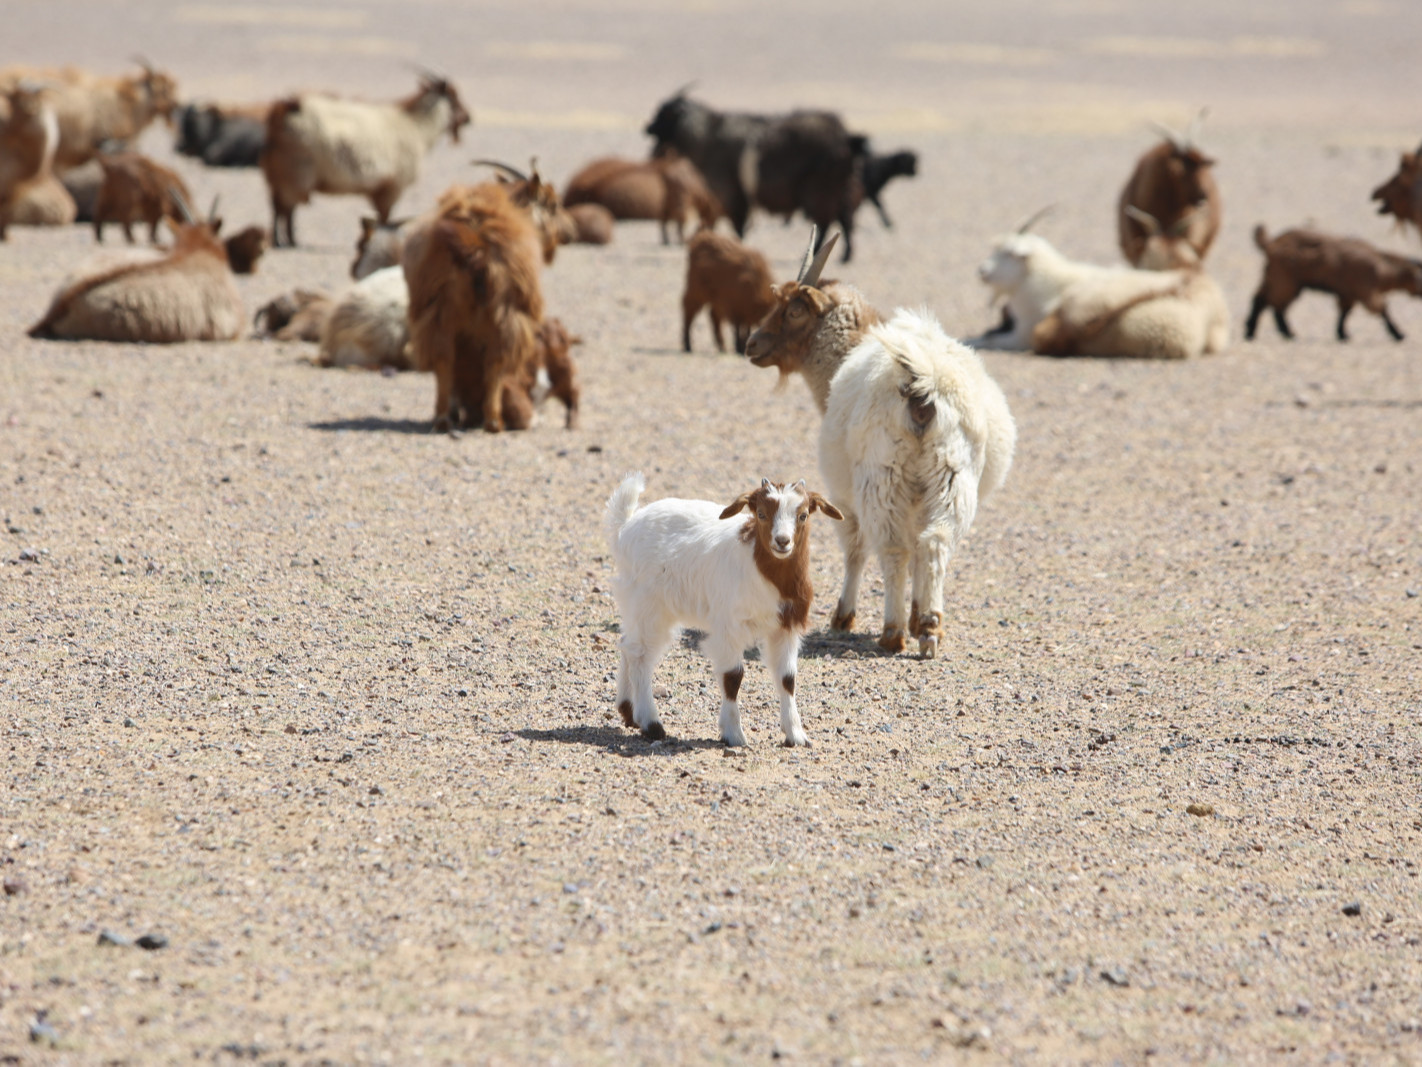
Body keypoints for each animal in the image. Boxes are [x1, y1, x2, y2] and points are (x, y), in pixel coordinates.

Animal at [261, 75, 472, 250]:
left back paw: (286, 240)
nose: (468, 118)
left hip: (280, 172)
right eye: (454, 97)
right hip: (295, 170)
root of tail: (283, 110)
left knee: (280, 205)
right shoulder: (392, 186)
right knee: (284, 206)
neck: (416, 126)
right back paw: (284, 241)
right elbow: (385, 218)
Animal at [1245, 226, 1422, 342]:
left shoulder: (1349, 293)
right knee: (1271, 302)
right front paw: (1399, 334)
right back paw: (1277, 332)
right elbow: (1381, 308)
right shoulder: (1365, 289)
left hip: (1275, 278)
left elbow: (1345, 312)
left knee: (1264, 300)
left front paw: (1342, 334)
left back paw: (1259, 331)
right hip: (1284, 280)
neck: (1381, 267)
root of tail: (1270, 244)